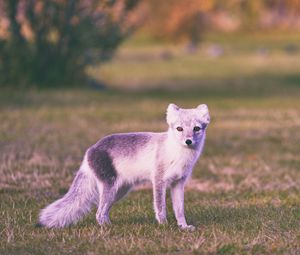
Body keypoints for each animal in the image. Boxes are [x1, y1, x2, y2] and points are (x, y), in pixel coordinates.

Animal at [38, 102, 210, 230]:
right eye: (179, 129)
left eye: (196, 128)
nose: (188, 141)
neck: (178, 154)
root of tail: (90, 150)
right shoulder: (158, 180)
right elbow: (160, 207)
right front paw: (164, 226)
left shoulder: (178, 183)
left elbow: (179, 209)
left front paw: (183, 227)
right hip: (110, 187)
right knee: (99, 213)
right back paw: (108, 228)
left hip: (120, 191)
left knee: (102, 211)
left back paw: (109, 225)